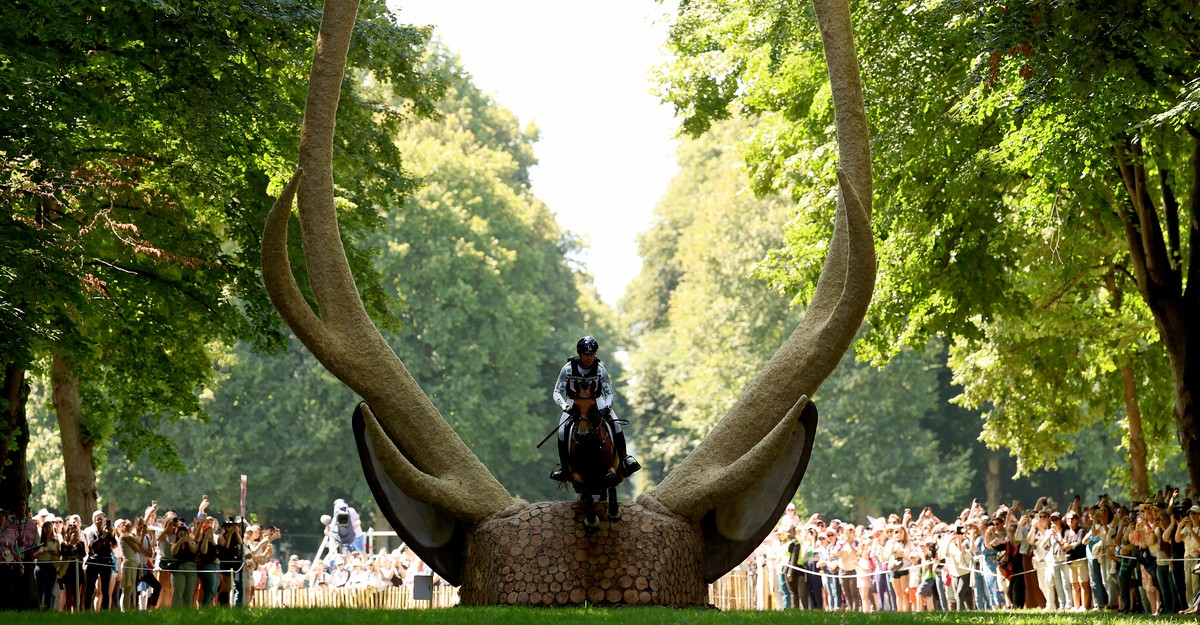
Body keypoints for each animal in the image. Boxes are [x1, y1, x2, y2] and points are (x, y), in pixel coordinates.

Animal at [561, 374, 624, 530]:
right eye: (575, 407)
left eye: (593, 406)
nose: (583, 434)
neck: (589, 445)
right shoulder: (576, 473)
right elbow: (585, 485)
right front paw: (591, 519)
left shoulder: (609, 467)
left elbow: (610, 478)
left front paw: (614, 512)